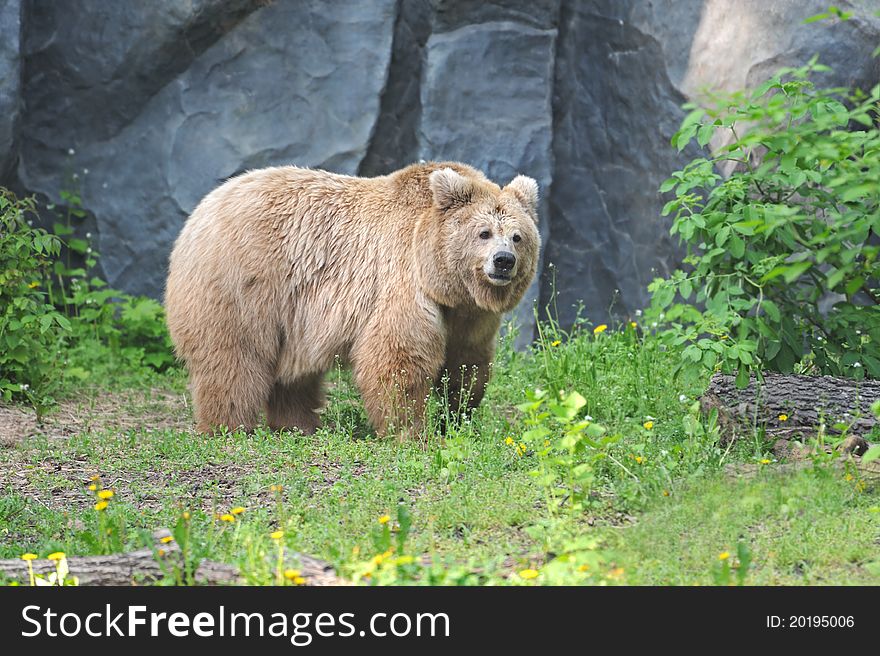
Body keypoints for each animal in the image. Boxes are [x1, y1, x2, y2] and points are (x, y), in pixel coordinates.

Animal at [162, 160, 540, 436]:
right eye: (484, 232)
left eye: (517, 236)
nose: (503, 261)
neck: (440, 275)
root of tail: (203, 209)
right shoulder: (402, 283)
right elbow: (398, 358)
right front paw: (411, 430)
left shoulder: (468, 314)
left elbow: (468, 363)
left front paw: (458, 417)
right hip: (242, 282)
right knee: (233, 357)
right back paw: (227, 426)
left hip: (292, 311)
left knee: (293, 374)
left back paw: (298, 424)